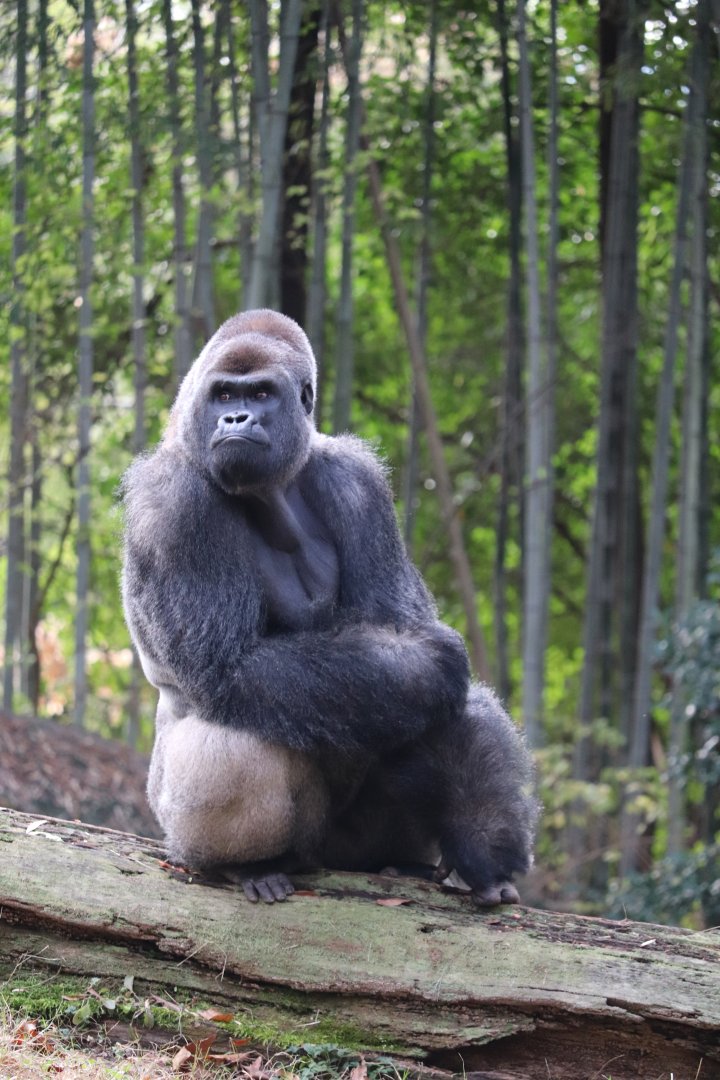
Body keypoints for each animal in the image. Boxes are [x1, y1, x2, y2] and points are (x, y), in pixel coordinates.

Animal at [122, 309, 537, 905]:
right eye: (224, 393)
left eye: (261, 393)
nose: (235, 418)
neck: (273, 488)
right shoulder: (173, 501)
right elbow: (232, 663)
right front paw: (440, 664)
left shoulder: (356, 481)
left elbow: (402, 637)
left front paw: (483, 848)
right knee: (235, 739)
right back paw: (248, 865)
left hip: (355, 841)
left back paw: (411, 859)